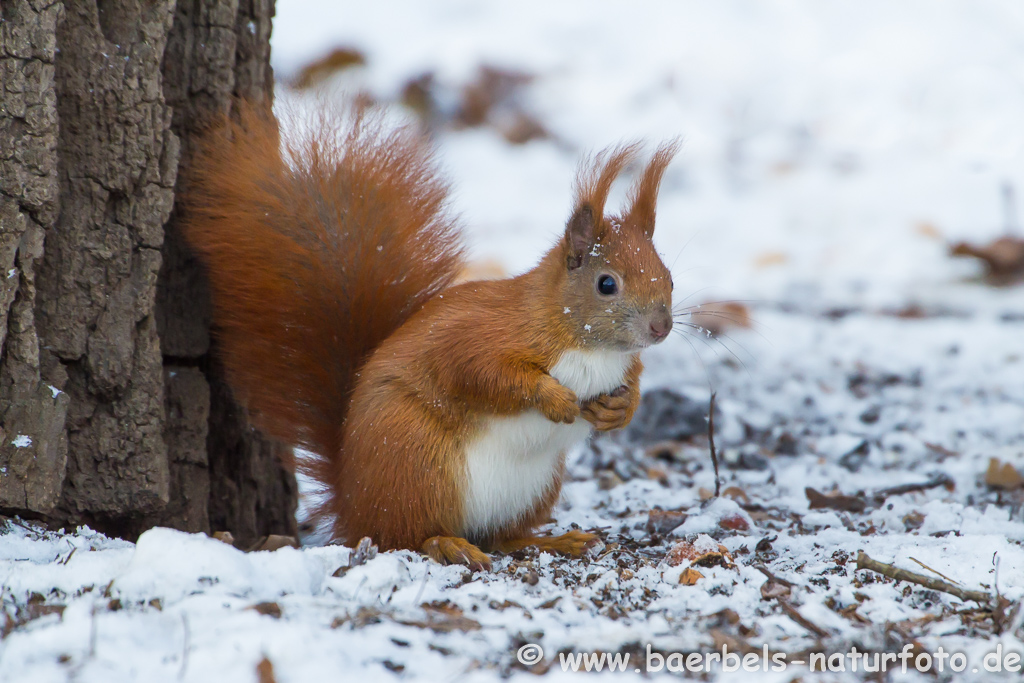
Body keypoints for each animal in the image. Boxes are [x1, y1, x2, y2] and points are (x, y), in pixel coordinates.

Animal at [184, 102, 679, 573]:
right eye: (606, 284)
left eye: (669, 278)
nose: (661, 328)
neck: (588, 343)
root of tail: (352, 500)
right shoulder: (483, 335)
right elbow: (483, 373)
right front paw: (553, 398)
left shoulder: (624, 362)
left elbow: (632, 382)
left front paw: (619, 409)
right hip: (417, 463)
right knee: (405, 536)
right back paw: (446, 543)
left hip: (533, 486)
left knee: (501, 537)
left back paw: (553, 541)